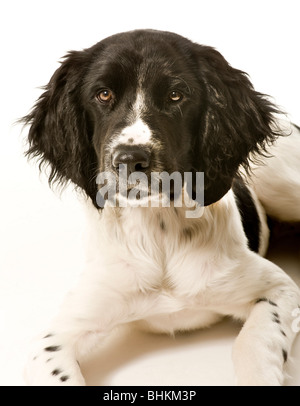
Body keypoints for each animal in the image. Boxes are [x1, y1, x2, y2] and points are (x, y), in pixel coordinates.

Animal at [22, 30, 300, 386]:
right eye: (103, 94)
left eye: (175, 95)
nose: (130, 160)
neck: (158, 230)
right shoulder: (53, 338)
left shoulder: (277, 289)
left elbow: (251, 345)